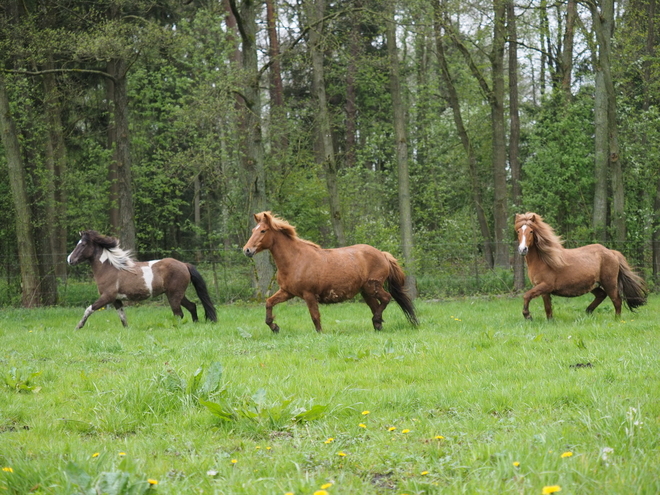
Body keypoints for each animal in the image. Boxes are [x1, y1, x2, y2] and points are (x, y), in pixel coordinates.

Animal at [67, 232, 217, 330]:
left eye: (83, 244)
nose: (70, 260)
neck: (109, 268)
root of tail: (184, 265)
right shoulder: (116, 299)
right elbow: (122, 316)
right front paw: (127, 330)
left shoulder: (107, 296)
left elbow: (89, 309)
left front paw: (78, 327)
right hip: (178, 294)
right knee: (192, 306)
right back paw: (195, 324)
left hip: (174, 295)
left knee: (178, 313)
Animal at [242, 211, 418, 336]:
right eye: (252, 230)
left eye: (263, 231)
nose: (247, 250)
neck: (295, 260)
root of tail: (382, 254)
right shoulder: (287, 292)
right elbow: (269, 303)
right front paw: (274, 327)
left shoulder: (309, 295)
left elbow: (315, 317)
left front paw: (320, 334)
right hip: (366, 292)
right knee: (376, 306)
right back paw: (377, 325)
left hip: (372, 287)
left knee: (386, 299)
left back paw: (377, 321)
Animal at [512, 213, 648, 322]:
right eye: (518, 231)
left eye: (531, 231)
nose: (522, 249)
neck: (544, 259)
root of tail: (612, 252)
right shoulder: (543, 290)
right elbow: (548, 308)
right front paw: (550, 321)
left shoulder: (545, 286)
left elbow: (526, 296)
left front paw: (527, 315)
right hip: (593, 285)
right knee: (601, 295)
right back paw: (588, 311)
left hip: (609, 283)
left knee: (617, 300)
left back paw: (616, 320)